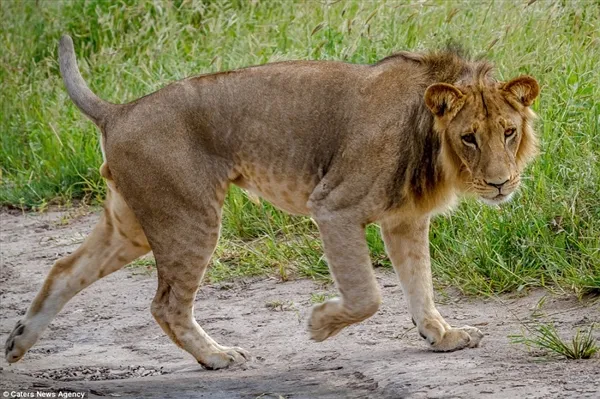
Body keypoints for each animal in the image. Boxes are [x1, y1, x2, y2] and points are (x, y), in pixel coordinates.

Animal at [3, 36, 540, 370]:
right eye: (469, 138)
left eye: (509, 132)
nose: (500, 184)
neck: (428, 134)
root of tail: (118, 111)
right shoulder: (334, 207)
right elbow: (369, 294)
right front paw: (320, 326)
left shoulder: (404, 221)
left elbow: (420, 284)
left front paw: (441, 335)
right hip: (189, 217)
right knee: (165, 304)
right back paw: (217, 357)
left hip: (133, 224)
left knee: (64, 270)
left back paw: (18, 342)